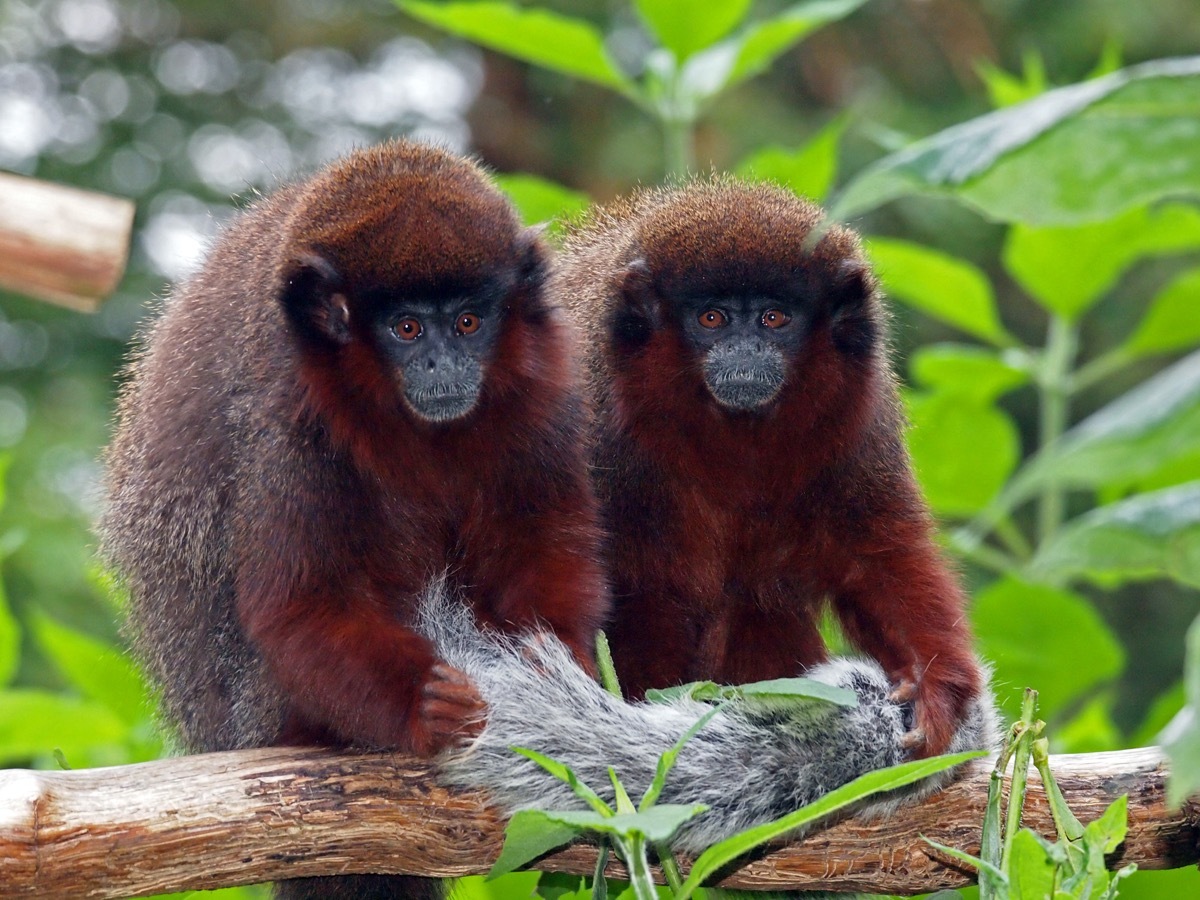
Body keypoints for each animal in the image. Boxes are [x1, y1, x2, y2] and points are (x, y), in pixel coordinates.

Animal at [100, 141, 609, 897]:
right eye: (406, 328)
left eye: (468, 323)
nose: (442, 363)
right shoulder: (287, 415)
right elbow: (298, 606)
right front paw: (428, 707)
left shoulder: (544, 380)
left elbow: (545, 548)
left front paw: (554, 679)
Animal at [554, 183, 984, 763]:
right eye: (712, 319)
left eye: (773, 319)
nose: (745, 351)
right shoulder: (594, 416)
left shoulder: (860, 421)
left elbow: (877, 554)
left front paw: (935, 688)